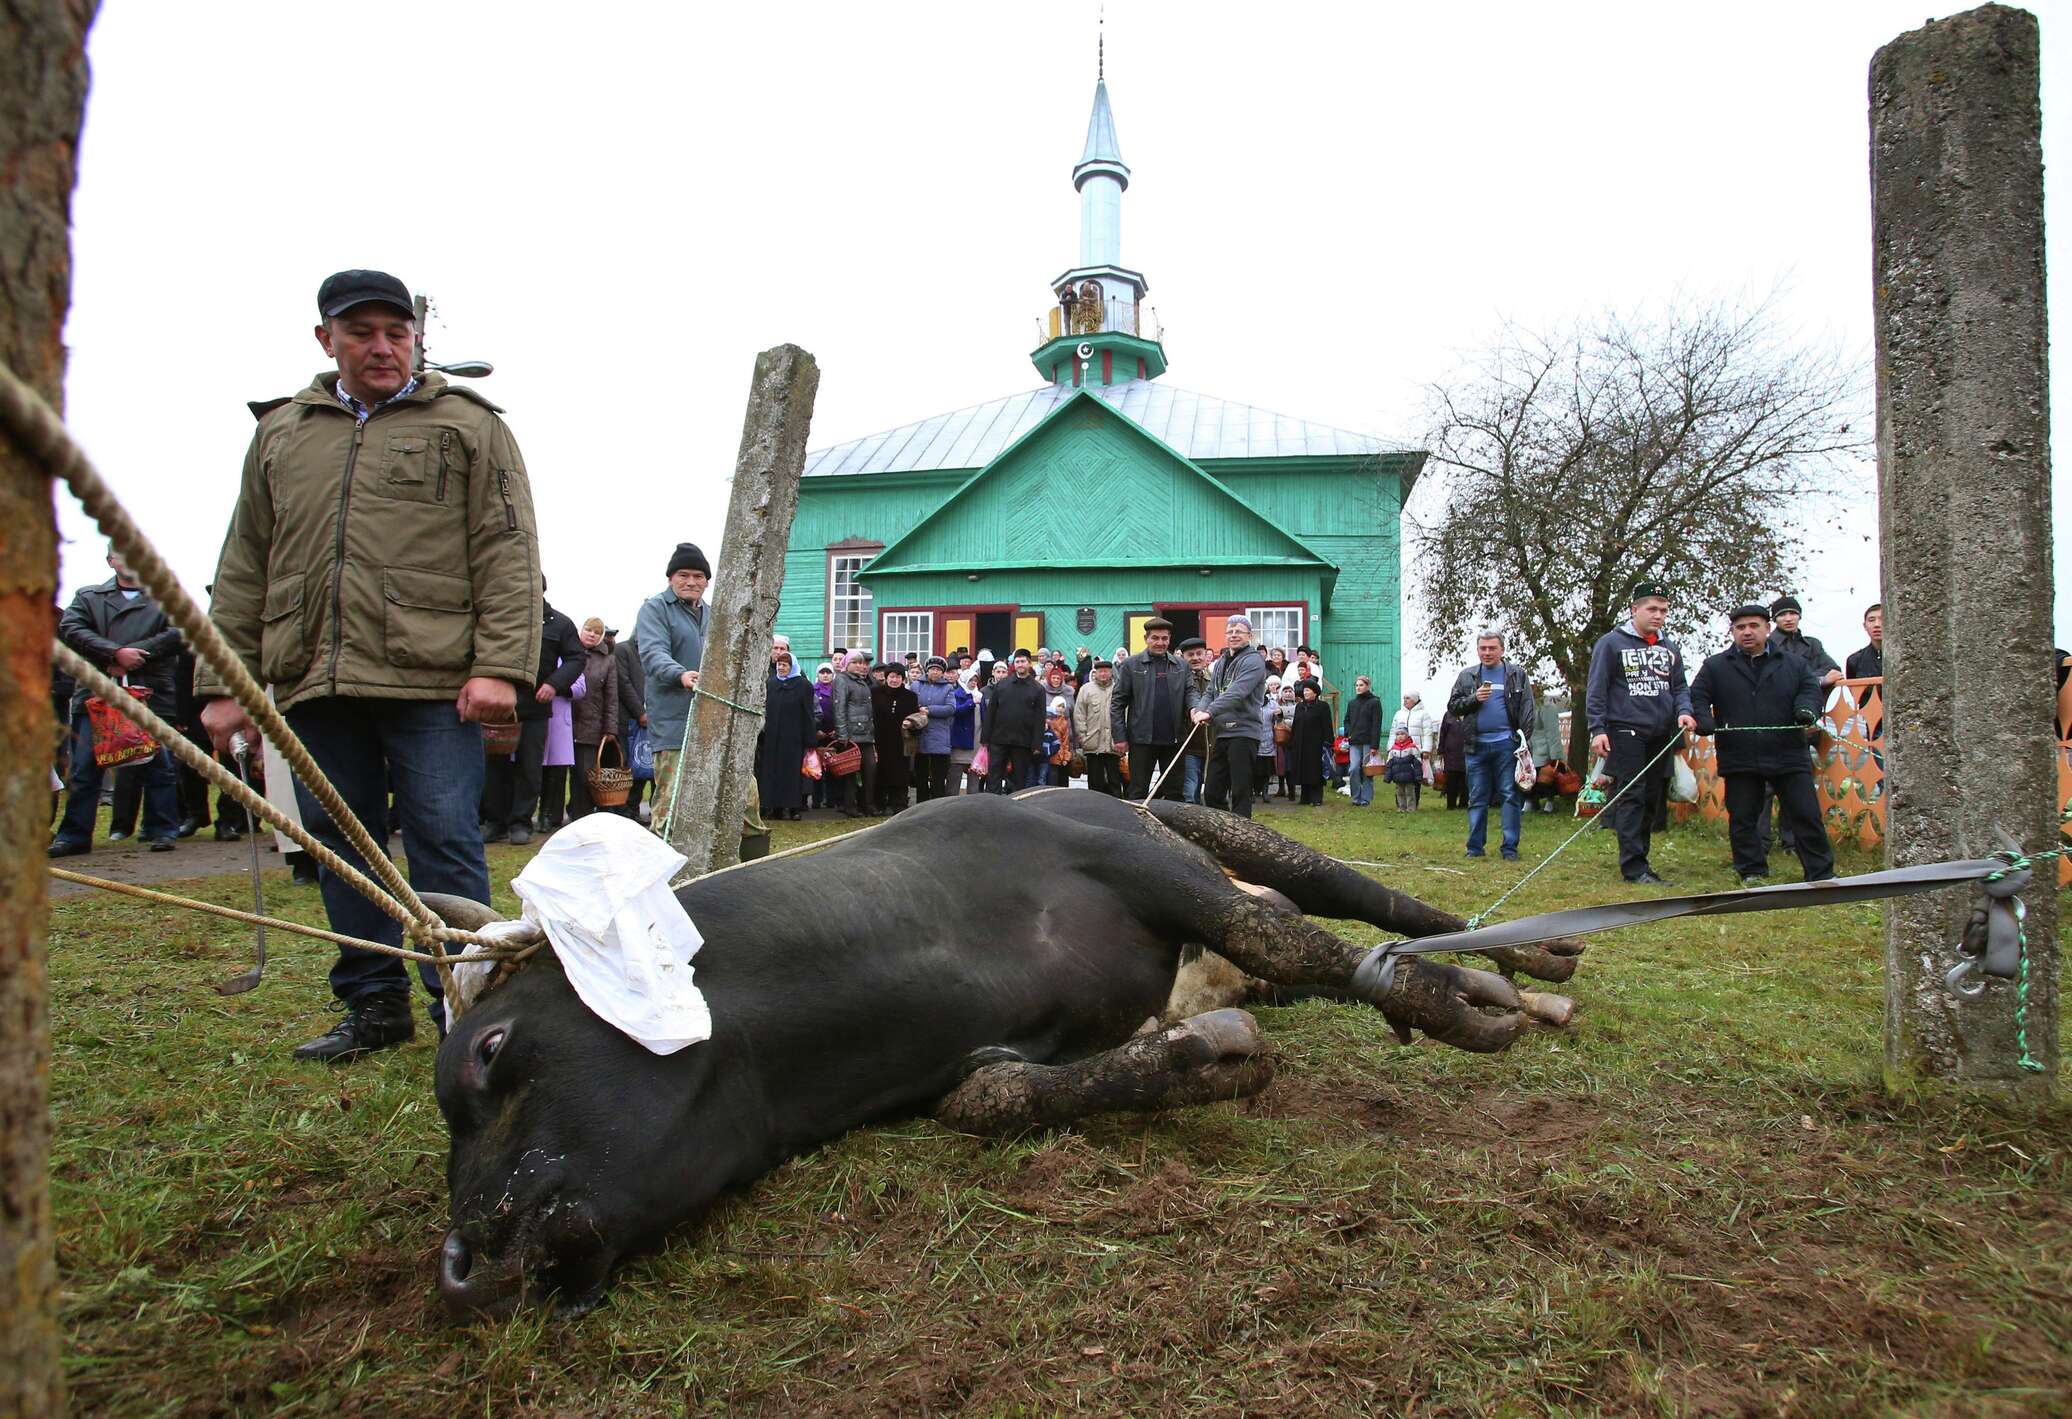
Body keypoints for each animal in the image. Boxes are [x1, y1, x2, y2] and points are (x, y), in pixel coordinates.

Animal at [420, 791, 1583, 1309]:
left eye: (486, 1051)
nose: (462, 1266)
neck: (913, 942)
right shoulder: (962, 1063)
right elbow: (988, 1102)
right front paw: (1204, 1054)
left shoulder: (1132, 860)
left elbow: (1287, 935)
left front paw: (1448, 1007)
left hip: (1208, 827)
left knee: (1368, 908)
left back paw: (1533, 961)